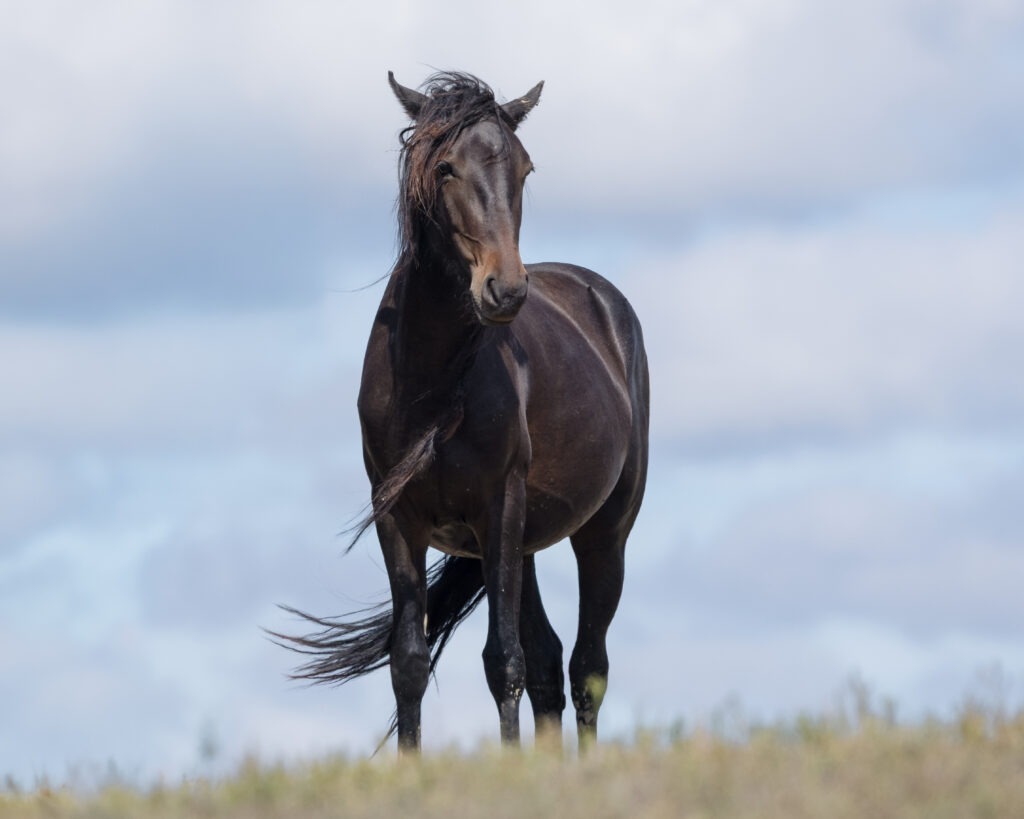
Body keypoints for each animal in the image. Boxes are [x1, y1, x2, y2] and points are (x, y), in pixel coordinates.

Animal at [278, 71, 649, 753]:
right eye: (445, 167)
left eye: (525, 168)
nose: (505, 289)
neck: (432, 384)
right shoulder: (399, 520)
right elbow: (409, 661)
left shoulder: (496, 509)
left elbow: (502, 660)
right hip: (525, 545)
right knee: (550, 664)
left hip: (603, 533)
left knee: (587, 666)